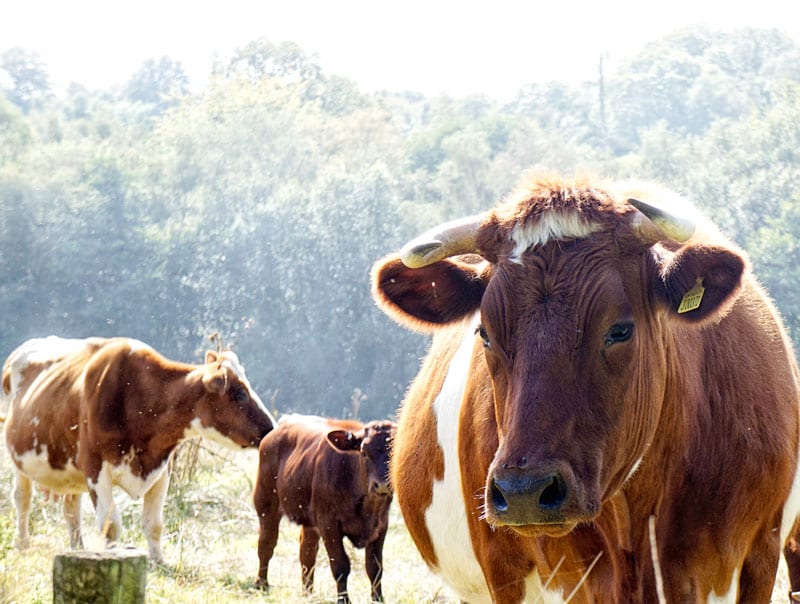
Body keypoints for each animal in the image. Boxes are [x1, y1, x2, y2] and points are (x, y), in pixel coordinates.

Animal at [1, 336, 276, 560]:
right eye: (240, 394)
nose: (271, 428)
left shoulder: (161, 469)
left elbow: (154, 524)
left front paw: (158, 561)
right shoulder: (95, 468)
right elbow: (110, 525)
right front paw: (111, 555)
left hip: (70, 469)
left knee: (71, 507)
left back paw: (77, 548)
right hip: (20, 461)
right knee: (22, 499)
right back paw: (22, 544)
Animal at [253, 412, 396, 604]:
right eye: (364, 452)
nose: (381, 485)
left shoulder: (380, 526)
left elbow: (375, 567)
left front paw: (378, 599)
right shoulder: (328, 524)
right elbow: (341, 565)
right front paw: (343, 600)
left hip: (309, 521)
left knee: (307, 553)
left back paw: (308, 594)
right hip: (266, 504)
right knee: (266, 544)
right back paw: (261, 584)